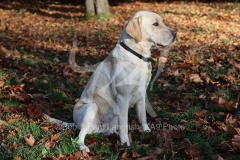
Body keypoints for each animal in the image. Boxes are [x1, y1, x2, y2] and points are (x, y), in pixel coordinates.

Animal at [47, 10, 175, 152]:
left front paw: (147, 132)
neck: (138, 55)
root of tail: (74, 123)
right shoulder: (123, 98)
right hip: (91, 107)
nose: (175, 33)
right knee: (80, 136)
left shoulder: (142, 95)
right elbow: (124, 125)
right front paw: (125, 144)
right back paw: (83, 146)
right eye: (155, 24)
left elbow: (143, 117)